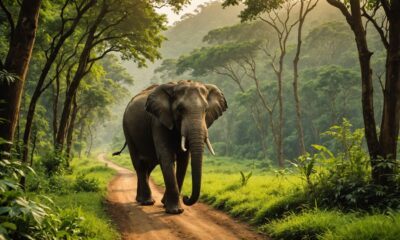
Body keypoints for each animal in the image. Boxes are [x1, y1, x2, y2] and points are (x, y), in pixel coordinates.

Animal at [114, 80, 227, 214]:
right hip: (127, 130)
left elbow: (184, 159)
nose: (186, 197)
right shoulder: (158, 121)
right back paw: (147, 202)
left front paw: (165, 204)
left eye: (205, 109)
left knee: (149, 166)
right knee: (139, 164)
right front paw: (175, 211)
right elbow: (166, 156)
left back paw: (140, 199)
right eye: (180, 109)